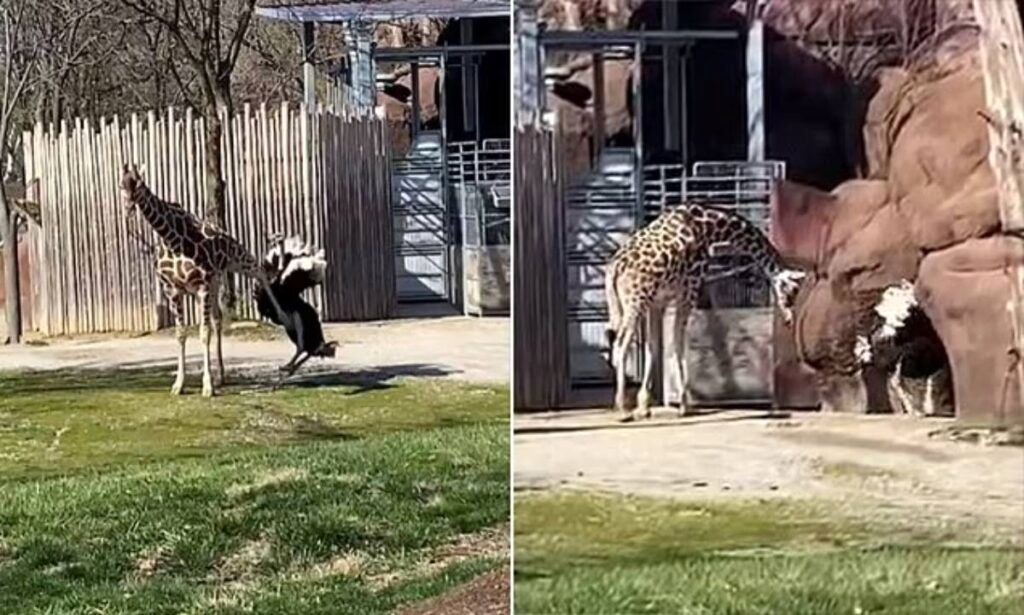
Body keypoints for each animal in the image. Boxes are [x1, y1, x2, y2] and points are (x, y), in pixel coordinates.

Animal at [120, 162, 288, 394]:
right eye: (121, 185)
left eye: (138, 184)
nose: (128, 209)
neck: (172, 239)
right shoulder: (174, 289)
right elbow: (181, 334)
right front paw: (179, 384)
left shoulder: (203, 286)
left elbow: (203, 332)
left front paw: (207, 386)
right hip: (214, 284)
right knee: (218, 319)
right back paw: (221, 376)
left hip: (237, 261)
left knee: (261, 273)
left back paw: (282, 314)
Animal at [602, 201, 802, 421]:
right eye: (791, 291)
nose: (789, 319)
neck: (708, 227)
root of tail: (615, 268)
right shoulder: (689, 290)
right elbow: (678, 344)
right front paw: (684, 405)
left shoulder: (658, 302)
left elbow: (653, 347)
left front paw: (644, 406)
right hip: (635, 303)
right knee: (620, 345)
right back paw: (622, 409)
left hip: (623, 305)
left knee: (614, 342)